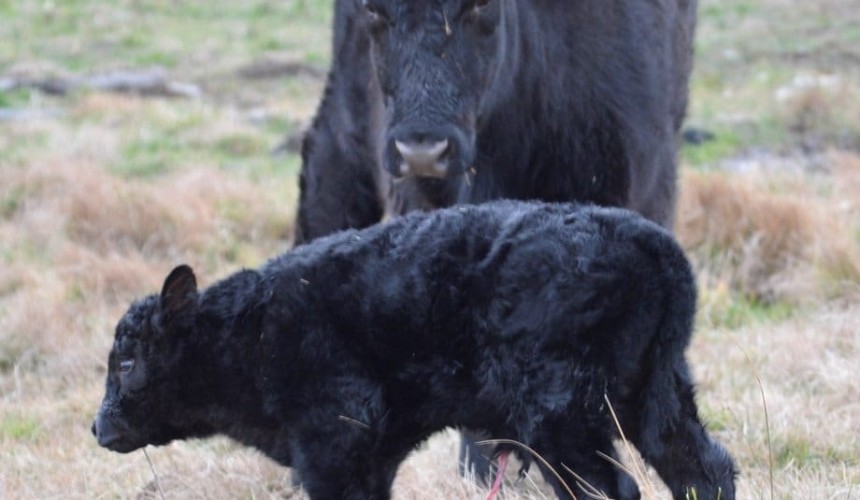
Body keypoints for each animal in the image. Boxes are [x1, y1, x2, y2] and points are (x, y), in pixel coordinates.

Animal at [93, 201, 736, 500]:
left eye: (126, 362)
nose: (100, 428)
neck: (253, 327)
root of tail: (656, 248)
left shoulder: (333, 445)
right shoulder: (373, 455)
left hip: (563, 418)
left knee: (608, 487)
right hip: (654, 395)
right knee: (704, 467)